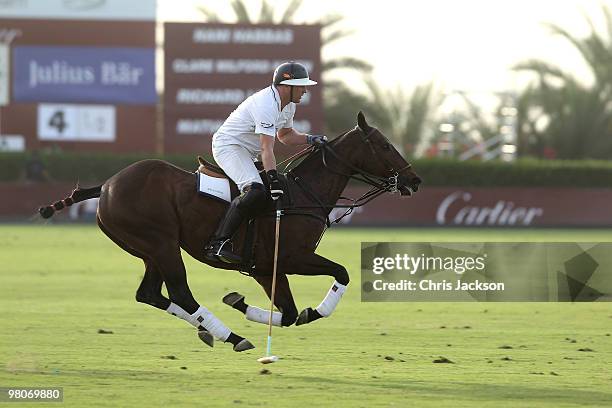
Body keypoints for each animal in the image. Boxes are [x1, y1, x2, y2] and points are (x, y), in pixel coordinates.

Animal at [38, 111, 420, 350]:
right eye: (385, 145)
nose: (415, 181)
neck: (301, 195)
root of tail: (105, 186)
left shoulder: (266, 268)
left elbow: (290, 314)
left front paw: (240, 302)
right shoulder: (292, 258)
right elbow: (339, 274)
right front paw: (313, 311)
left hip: (150, 250)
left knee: (149, 294)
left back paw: (212, 331)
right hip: (161, 244)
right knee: (180, 293)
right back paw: (232, 337)